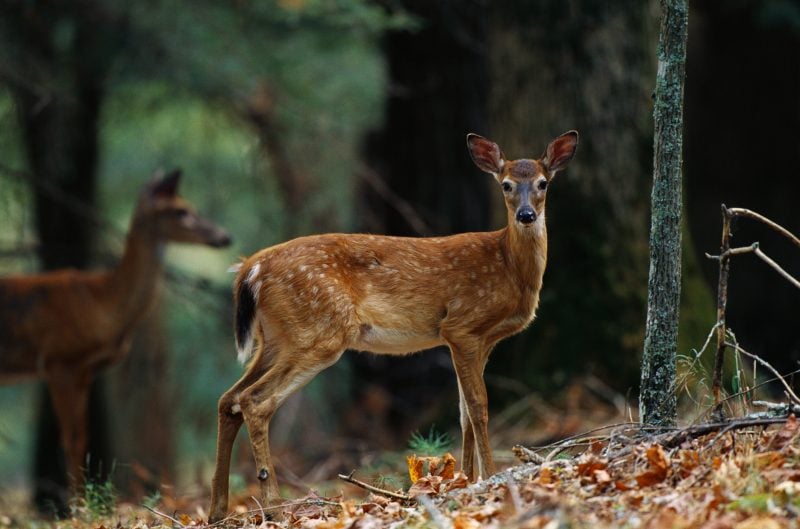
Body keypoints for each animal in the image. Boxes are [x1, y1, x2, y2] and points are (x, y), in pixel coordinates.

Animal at [0, 170, 231, 493]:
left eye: (190, 206)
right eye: (180, 210)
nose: (223, 236)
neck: (103, 302)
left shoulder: (84, 372)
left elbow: (83, 438)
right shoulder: (60, 361)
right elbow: (71, 440)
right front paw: (78, 502)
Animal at [208, 130, 578, 522]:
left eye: (542, 183)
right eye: (506, 184)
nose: (526, 214)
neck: (509, 268)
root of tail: (250, 269)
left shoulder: (480, 340)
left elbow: (463, 413)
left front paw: (464, 479)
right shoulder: (462, 327)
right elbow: (479, 406)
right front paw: (489, 475)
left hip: (276, 338)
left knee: (228, 399)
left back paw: (218, 510)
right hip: (319, 330)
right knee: (254, 401)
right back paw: (274, 506)